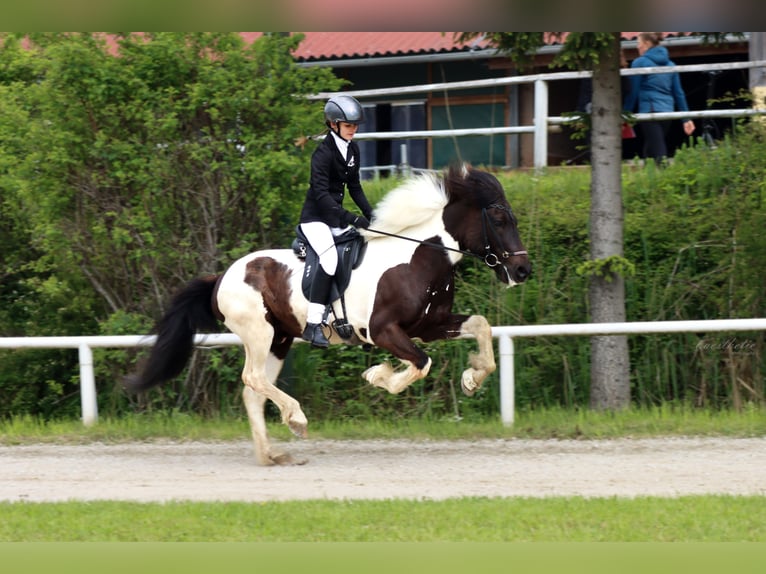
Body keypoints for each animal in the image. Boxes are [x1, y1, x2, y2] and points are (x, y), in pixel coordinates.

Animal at [126, 164, 536, 466]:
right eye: (498, 219)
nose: (522, 271)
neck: (419, 257)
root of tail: (221, 277)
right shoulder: (384, 330)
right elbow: (421, 363)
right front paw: (379, 376)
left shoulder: (429, 325)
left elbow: (480, 326)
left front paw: (472, 377)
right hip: (259, 333)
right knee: (252, 378)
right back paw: (297, 419)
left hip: (280, 339)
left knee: (252, 392)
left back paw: (271, 454)